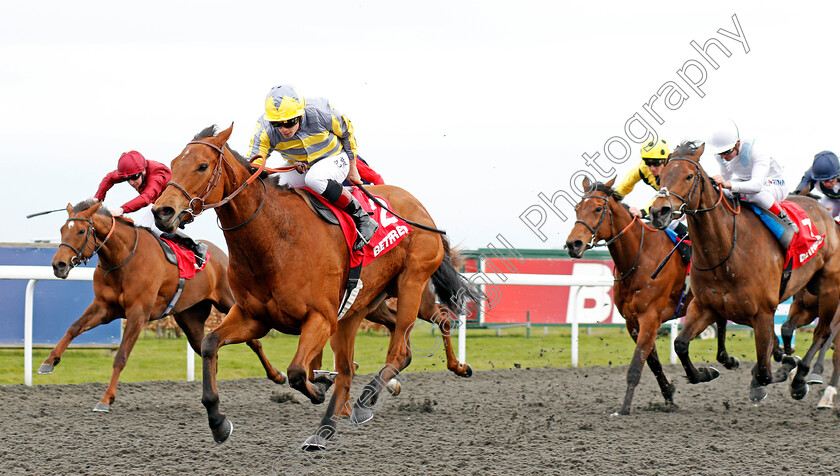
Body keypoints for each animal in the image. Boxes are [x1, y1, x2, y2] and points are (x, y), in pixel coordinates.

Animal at [44, 199, 288, 410]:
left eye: (81, 231)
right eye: (62, 230)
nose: (58, 265)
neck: (122, 258)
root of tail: (221, 254)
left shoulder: (138, 313)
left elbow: (120, 356)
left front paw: (105, 399)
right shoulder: (104, 307)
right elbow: (74, 327)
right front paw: (49, 361)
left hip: (232, 303)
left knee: (254, 342)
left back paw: (277, 375)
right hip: (190, 319)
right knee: (210, 351)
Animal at [151, 123, 480, 450]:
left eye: (202, 166)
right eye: (172, 165)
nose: (162, 211)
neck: (276, 239)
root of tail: (421, 210)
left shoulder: (320, 318)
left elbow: (297, 372)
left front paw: (319, 387)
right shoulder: (253, 317)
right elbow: (210, 344)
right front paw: (218, 422)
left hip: (411, 284)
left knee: (405, 348)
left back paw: (364, 401)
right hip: (364, 307)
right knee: (370, 356)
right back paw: (328, 427)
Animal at [564, 177, 736, 414]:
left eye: (598, 208)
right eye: (576, 208)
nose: (573, 244)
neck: (640, 257)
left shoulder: (650, 317)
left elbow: (637, 364)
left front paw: (624, 408)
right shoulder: (633, 322)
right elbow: (653, 362)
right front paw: (669, 394)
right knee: (721, 323)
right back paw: (726, 360)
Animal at [652, 142, 840, 402]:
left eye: (689, 176)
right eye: (660, 176)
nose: (658, 212)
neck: (726, 252)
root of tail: (826, 214)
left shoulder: (762, 312)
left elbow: (764, 371)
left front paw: (783, 368)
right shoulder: (705, 306)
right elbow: (681, 344)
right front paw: (706, 372)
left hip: (830, 289)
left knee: (822, 332)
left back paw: (801, 379)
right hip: (806, 295)